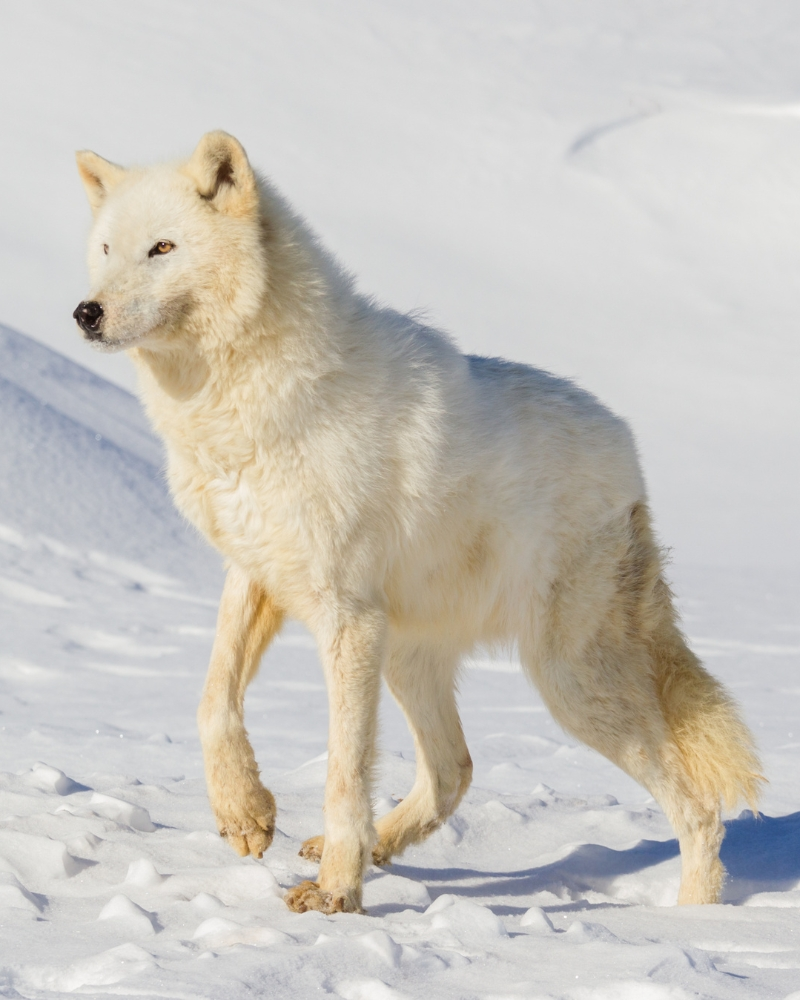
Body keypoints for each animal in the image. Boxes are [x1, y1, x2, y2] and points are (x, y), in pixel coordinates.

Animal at [74, 132, 762, 914]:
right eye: (105, 248)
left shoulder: (346, 619)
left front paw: (335, 896)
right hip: (412, 656)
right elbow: (212, 701)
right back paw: (374, 844)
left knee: (696, 806)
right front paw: (247, 815)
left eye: (162, 248)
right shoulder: (256, 574)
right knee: (454, 768)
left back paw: (692, 919)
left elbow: (343, 769)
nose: (86, 312)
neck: (248, 407)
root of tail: (633, 460)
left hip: (565, 684)